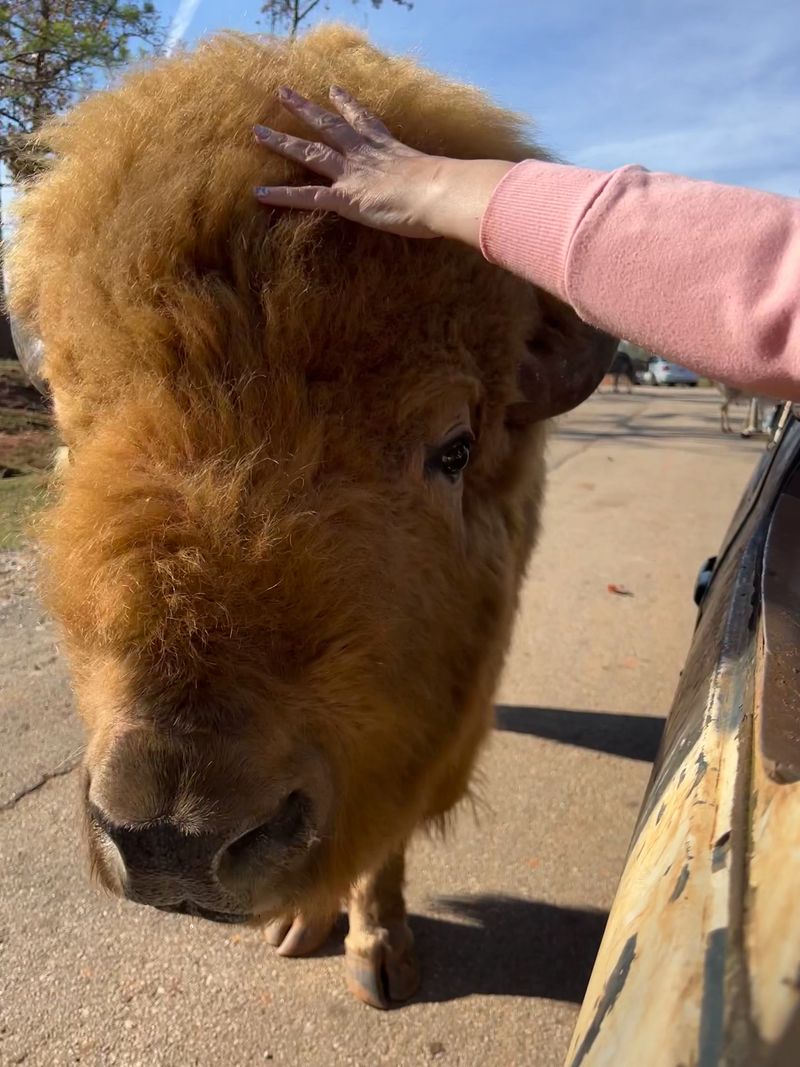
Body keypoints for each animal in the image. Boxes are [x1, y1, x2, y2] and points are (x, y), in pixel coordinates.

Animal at [6, 26, 614, 1008]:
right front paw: (304, 924)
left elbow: (385, 832)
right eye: (67, 429)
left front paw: (377, 950)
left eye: (453, 447)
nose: (173, 839)